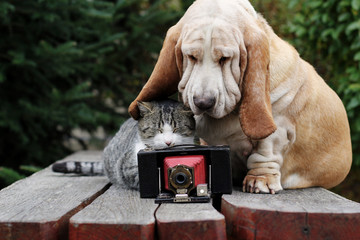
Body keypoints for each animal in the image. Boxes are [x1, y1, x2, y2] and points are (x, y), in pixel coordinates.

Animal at [129, 0, 352, 193]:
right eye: (191, 56)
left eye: (224, 59)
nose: (203, 103)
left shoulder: (279, 128)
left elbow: (265, 152)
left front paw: (259, 180)